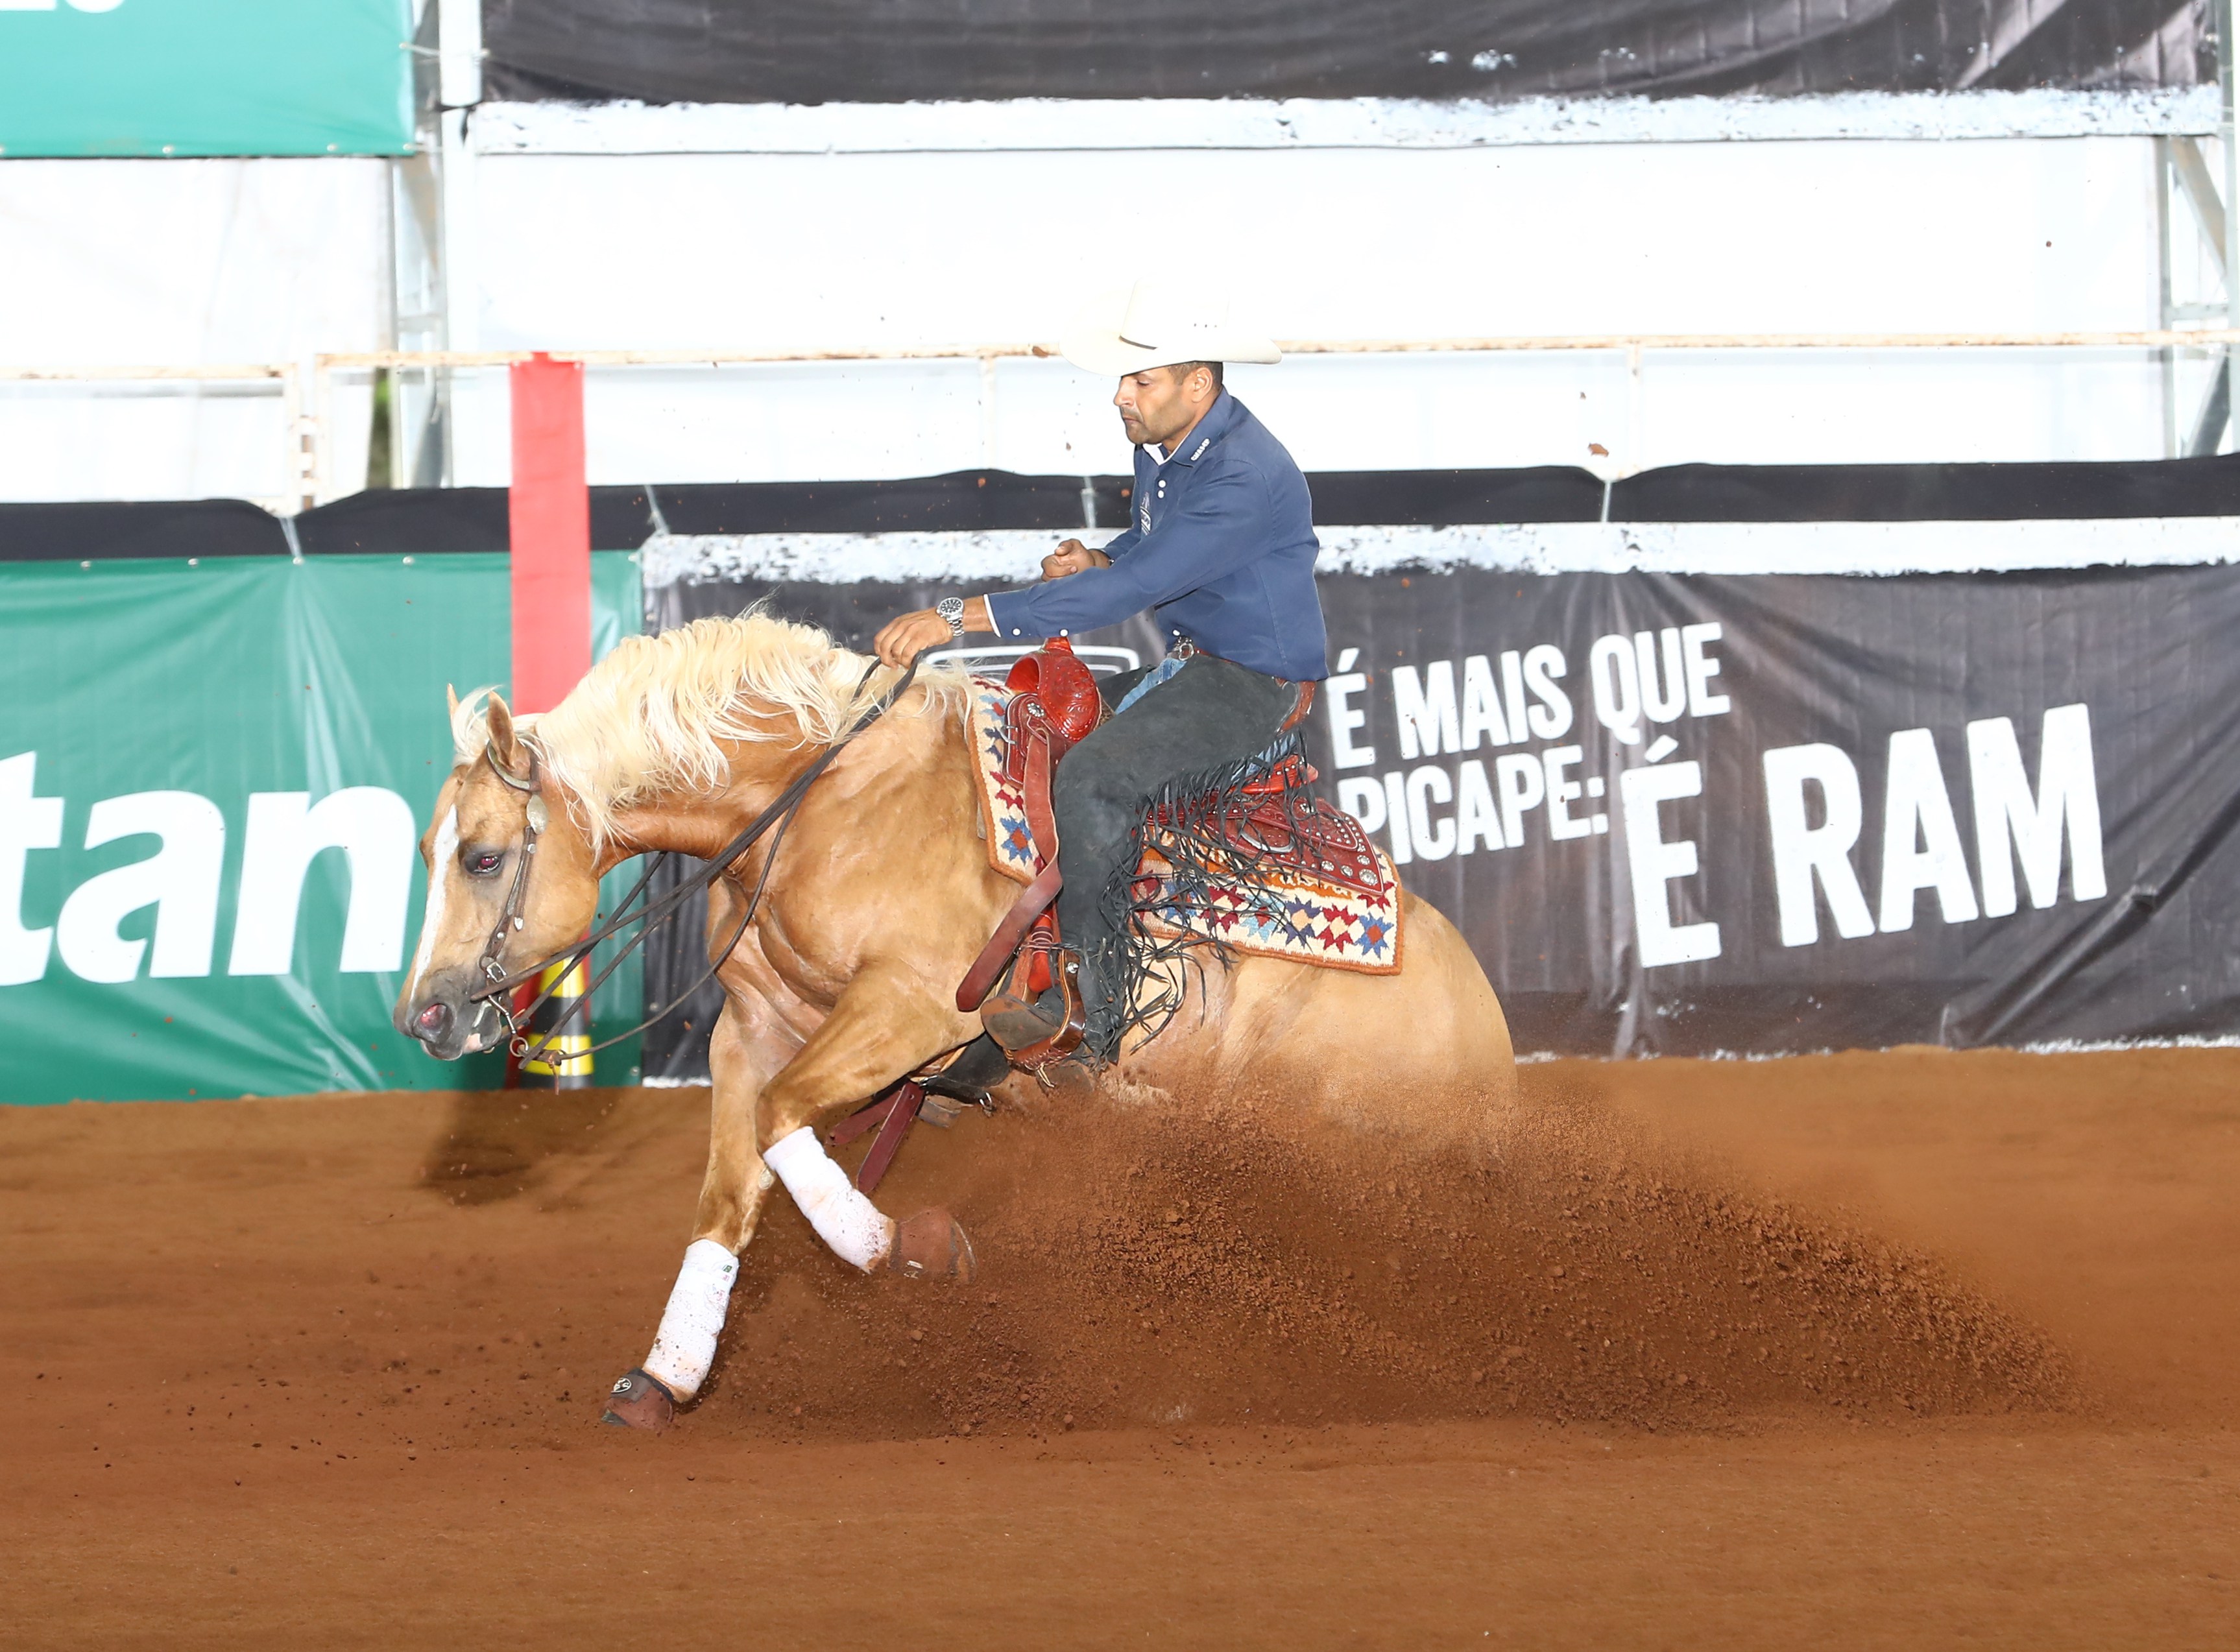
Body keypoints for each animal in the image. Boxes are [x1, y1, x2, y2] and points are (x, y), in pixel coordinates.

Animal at [395, 611, 1516, 1432]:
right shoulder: (751, 1029)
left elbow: (786, 1122)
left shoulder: (910, 1010)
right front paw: (663, 1376)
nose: (425, 1014)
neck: (822, 804)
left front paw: (910, 1248)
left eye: (484, 856)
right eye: (426, 849)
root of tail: (1478, 1012)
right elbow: (729, 1189)